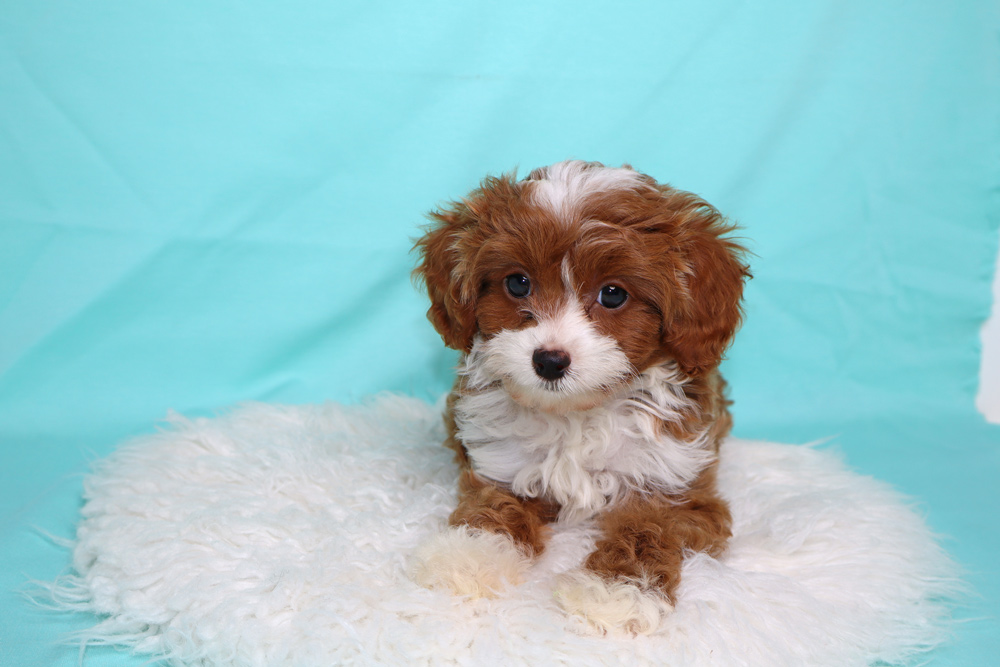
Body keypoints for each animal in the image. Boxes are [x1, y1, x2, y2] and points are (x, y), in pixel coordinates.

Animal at [411, 160, 750, 634]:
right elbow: (493, 504)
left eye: (613, 293)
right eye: (518, 284)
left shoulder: (676, 486)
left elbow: (647, 530)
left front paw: (616, 592)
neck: (576, 413)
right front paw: (471, 552)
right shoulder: (499, 461)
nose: (549, 361)